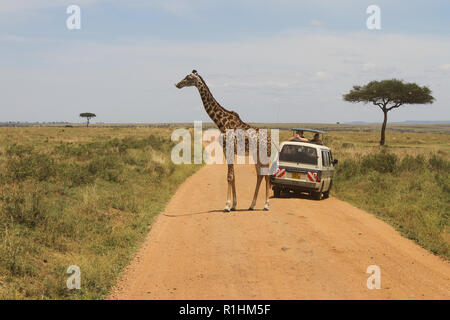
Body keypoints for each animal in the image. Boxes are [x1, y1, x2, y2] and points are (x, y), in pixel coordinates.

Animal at [176, 69, 270, 212]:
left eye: (188, 78)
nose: (177, 84)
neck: (221, 123)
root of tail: (271, 139)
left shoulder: (229, 148)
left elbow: (229, 176)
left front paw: (227, 205)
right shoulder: (226, 151)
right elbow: (233, 176)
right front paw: (234, 205)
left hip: (265, 154)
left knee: (267, 174)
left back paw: (266, 205)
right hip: (256, 155)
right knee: (260, 175)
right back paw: (252, 205)